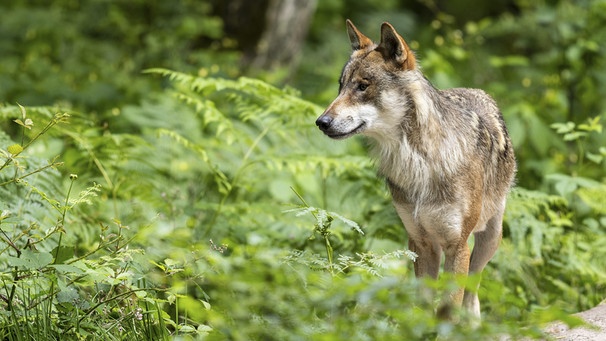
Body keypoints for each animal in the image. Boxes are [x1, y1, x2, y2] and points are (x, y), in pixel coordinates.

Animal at [316, 19, 520, 318]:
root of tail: (475, 90)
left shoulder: (457, 246)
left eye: (363, 86)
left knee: (473, 292)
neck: (419, 162)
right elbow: (423, 308)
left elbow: (448, 308)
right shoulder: (420, 243)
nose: (321, 122)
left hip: (489, 240)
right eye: (340, 87)